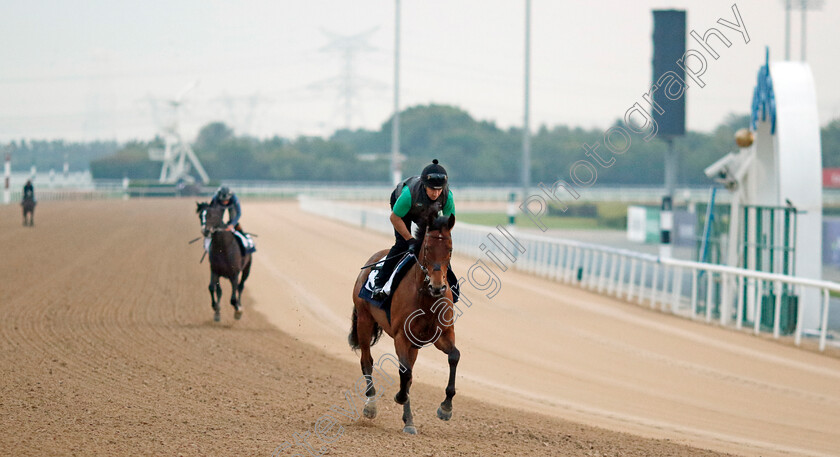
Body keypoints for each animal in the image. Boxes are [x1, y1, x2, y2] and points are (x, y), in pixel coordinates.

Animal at [348, 208, 460, 432]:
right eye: (427, 248)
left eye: (450, 249)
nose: (438, 286)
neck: (427, 298)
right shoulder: (402, 337)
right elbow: (405, 372)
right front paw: (400, 397)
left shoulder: (442, 335)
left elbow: (454, 356)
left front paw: (446, 408)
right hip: (364, 320)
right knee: (367, 361)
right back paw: (371, 406)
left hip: (414, 345)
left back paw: (409, 421)